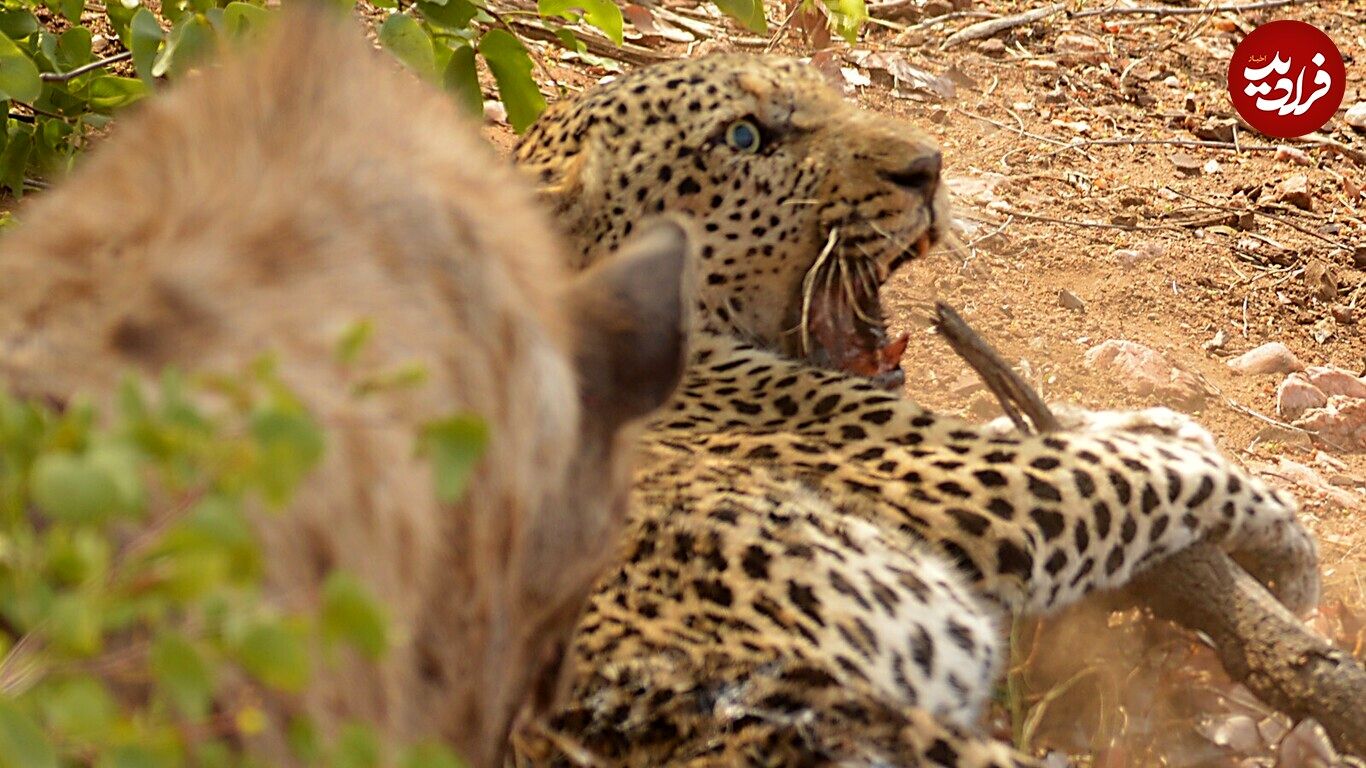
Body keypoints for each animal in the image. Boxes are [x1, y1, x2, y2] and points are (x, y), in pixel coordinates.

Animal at [513, 52, 1322, 759]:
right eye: (744, 138)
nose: (927, 166)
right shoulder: (961, 484)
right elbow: (1129, 471)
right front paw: (1285, 541)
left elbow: (1053, 430)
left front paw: (1162, 424)